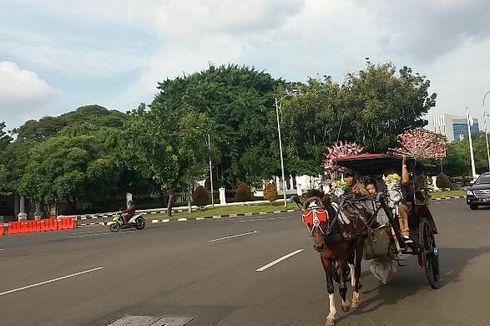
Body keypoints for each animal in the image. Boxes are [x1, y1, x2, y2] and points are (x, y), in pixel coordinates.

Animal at [292, 190, 370, 324]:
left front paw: (346, 304)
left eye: (324, 218)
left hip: (360, 242)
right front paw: (332, 314)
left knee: (357, 268)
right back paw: (354, 282)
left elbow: (342, 286)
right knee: (352, 263)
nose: (319, 246)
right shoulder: (325, 260)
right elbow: (330, 286)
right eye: (307, 220)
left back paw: (355, 296)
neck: (330, 234)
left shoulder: (341, 258)